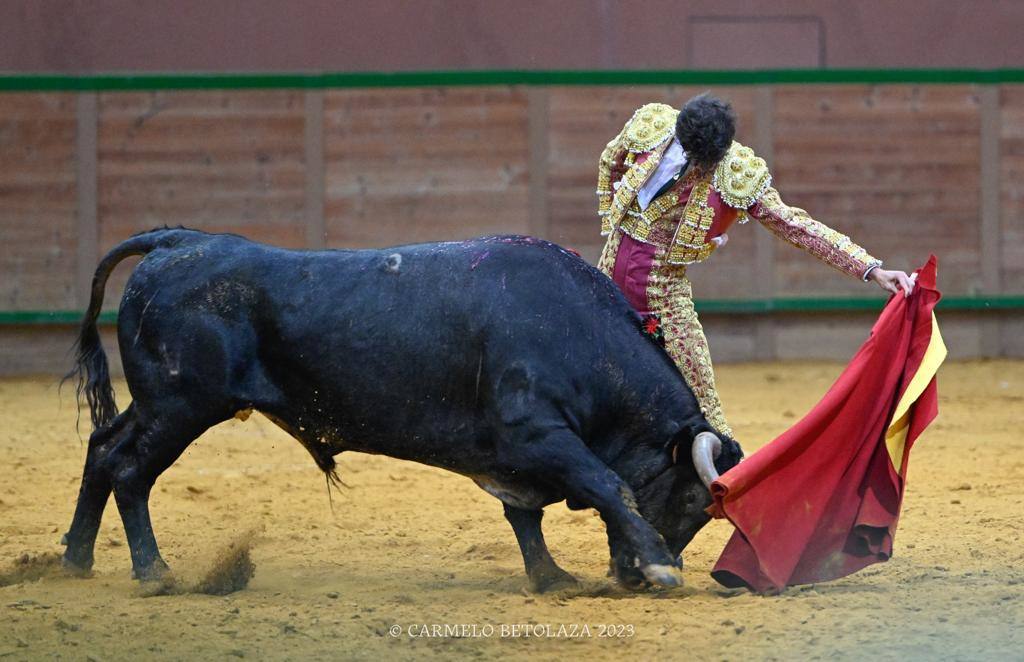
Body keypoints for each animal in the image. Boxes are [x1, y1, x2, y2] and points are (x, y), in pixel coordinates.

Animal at [64, 230, 745, 594]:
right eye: (696, 502)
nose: (633, 575)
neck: (577, 332)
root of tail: (179, 240)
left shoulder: (514, 458)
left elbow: (526, 516)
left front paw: (551, 578)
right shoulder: (537, 436)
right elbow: (606, 484)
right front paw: (659, 565)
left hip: (158, 404)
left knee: (103, 449)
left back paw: (74, 560)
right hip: (181, 406)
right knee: (131, 472)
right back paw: (154, 572)